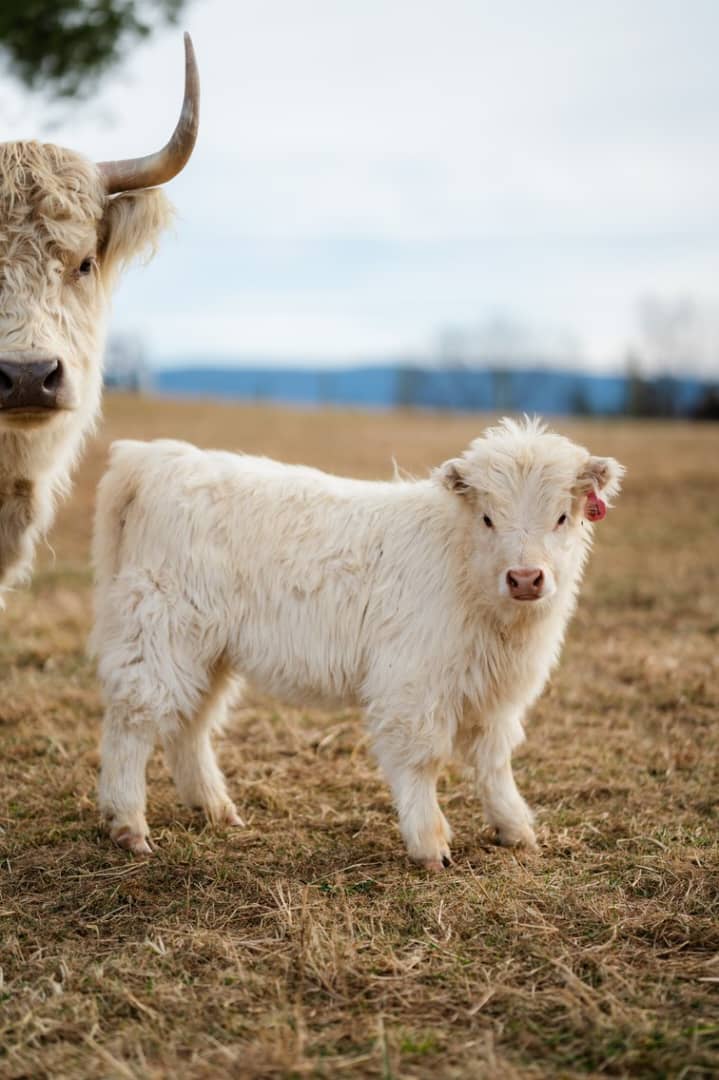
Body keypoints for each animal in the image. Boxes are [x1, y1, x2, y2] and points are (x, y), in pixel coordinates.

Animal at [91, 418, 624, 868]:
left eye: (562, 516)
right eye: (489, 518)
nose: (525, 578)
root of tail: (158, 457)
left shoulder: (497, 695)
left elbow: (494, 762)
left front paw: (516, 831)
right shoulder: (412, 685)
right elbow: (422, 760)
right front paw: (429, 844)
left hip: (208, 653)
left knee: (191, 725)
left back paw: (215, 808)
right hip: (160, 639)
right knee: (134, 722)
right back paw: (129, 825)